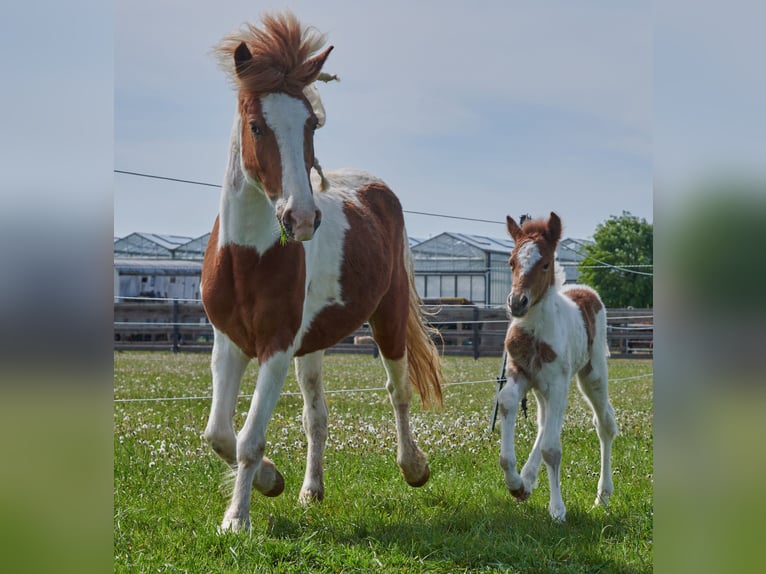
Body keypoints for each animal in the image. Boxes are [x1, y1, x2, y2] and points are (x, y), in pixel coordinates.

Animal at [201, 13, 448, 532]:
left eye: (311, 123)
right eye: (256, 126)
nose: (301, 218)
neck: (247, 260)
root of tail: (377, 188)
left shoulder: (275, 347)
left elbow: (250, 437)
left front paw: (237, 519)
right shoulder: (228, 341)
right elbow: (218, 433)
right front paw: (271, 480)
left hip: (388, 319)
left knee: (398, 391)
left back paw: (414, 467)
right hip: (310, 347)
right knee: (317, 417)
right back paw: (310, 490)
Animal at [498, 214, 616, 524]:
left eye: (545, 264)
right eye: (511, 262)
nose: (517, 302)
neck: (535, 332)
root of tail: (585, 290)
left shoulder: (557, 382)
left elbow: (552, 449)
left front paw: (558, 510)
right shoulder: (520, 373)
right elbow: (507, 402)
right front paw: (516, 484)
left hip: (591, 374)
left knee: (604, 424)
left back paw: (603, 496)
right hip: (542, 388)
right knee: (543, 423)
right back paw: (527, 480)